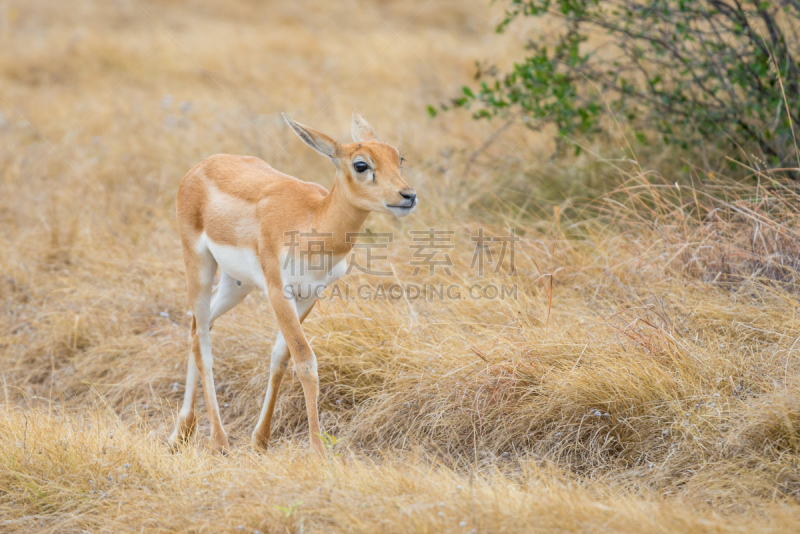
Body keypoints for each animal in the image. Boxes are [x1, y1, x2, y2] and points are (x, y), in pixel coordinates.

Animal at [170, 111, 418, 454]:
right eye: (361, 164)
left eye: (398, 157)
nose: (408, 196)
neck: (312, 222)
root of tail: (201, 166)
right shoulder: (278, 292)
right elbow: (305, 361)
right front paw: (317, 451)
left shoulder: (309, 295)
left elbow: (281, 357)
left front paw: (261, 439)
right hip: (199, 265)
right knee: (203, 341)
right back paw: (218, 440)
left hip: (236, 285)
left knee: (197, 327)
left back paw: (182, 431)